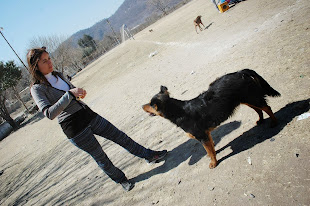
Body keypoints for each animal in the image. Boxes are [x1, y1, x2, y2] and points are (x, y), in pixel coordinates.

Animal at [143, 68, 280, 168]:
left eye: (150, 104)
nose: (141, 106)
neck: (179, 112)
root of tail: (240, 72)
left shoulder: (202, 136)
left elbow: (209, 150)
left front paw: (214, 163)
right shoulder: (206, 135)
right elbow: (211, 149)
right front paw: (213, 157)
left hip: (251, 97)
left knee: (267, 107)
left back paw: (274, 122)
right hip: (246, 99)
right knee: (259, 109)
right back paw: (260, 120)